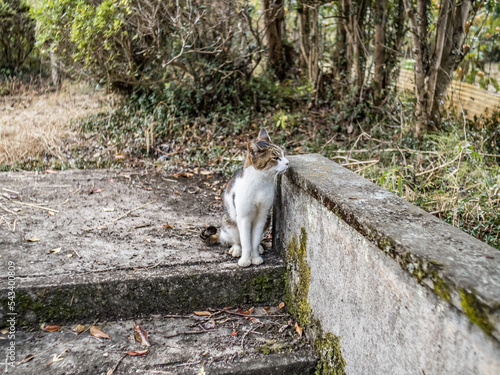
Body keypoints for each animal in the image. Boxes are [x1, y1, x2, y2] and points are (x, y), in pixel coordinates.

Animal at [200, 129, 290, 268]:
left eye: (283, 154)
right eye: (275, 158)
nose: (287, 162)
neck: (261, 183)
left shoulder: (262, 215)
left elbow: (254, 241)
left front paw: (255, 256)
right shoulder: (243, 217)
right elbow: (246, 243)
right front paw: (245, 260)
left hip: (268, 220)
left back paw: (259, 248)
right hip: (230, 223)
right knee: (236, 241)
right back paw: (236, 249)